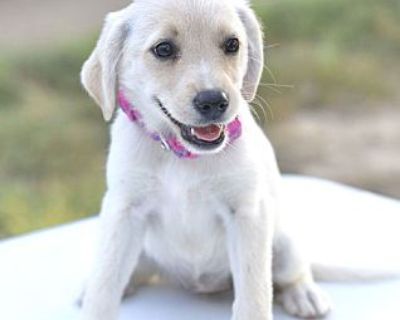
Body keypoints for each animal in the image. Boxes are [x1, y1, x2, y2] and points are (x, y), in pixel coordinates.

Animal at [80, 0, 332, 320]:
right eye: (163, 49)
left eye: (232, 44)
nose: (213, 101)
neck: (182, 155)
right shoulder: (124, 211)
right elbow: (105, 282)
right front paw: (96, 297)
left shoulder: (248, 211)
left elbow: (254, 293)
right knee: (129, 271)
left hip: (282, 241)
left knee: (293, 273)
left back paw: (304, 294)